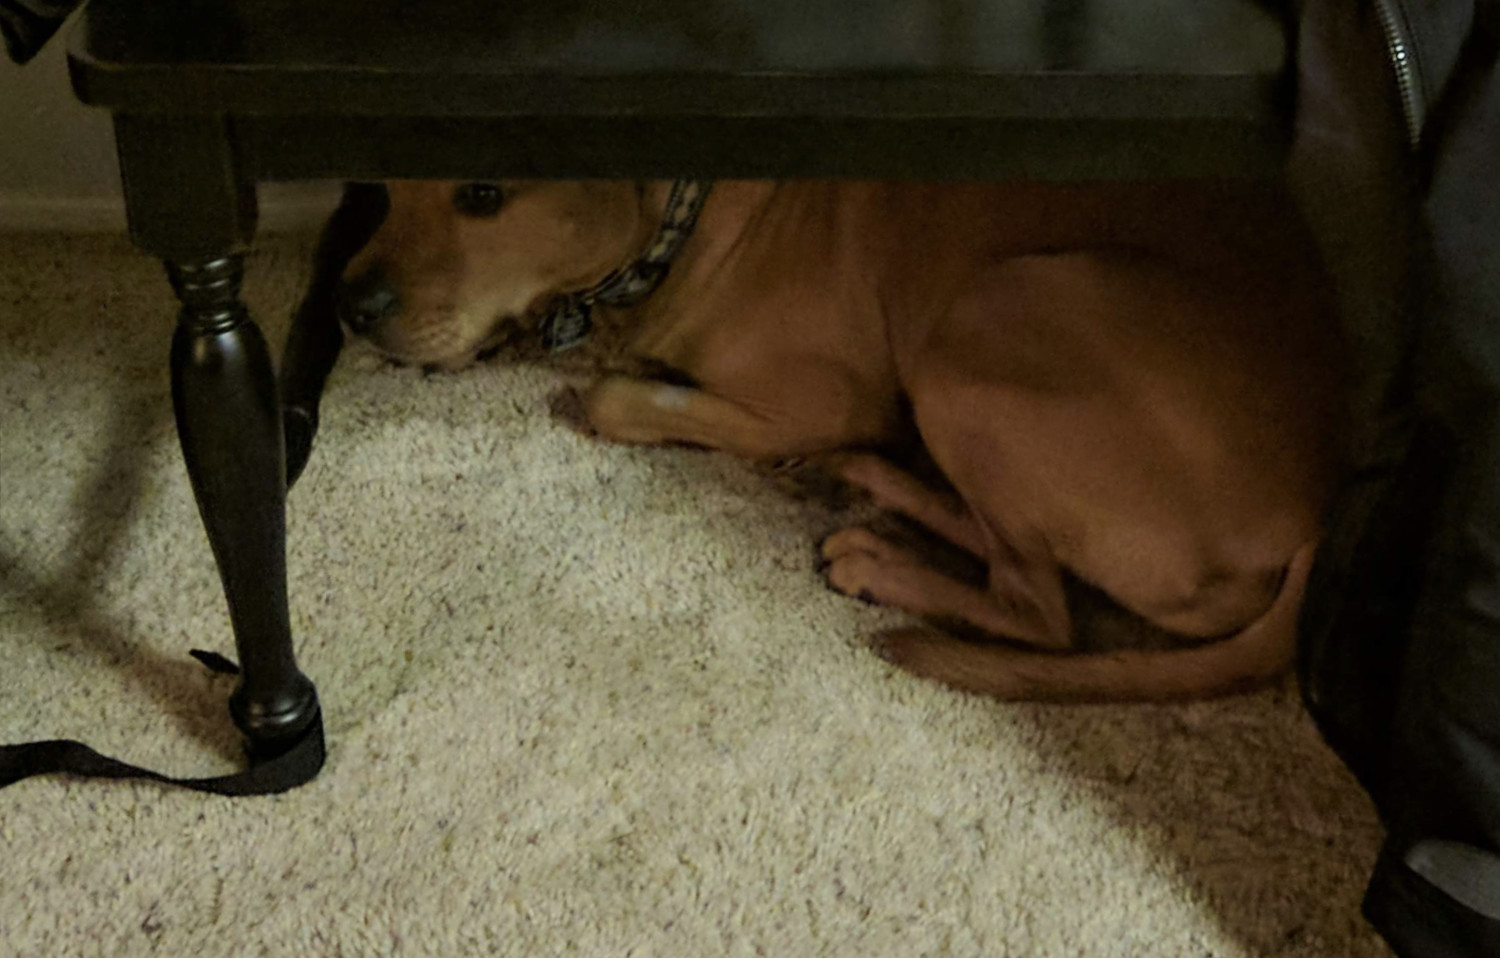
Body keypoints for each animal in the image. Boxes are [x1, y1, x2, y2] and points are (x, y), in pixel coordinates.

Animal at [337, 178, 1350, 704]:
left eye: (483, 195)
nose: (348, 306)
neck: (685, 223)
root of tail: (1317, 518)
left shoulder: (820, 397)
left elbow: (618, 398)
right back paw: (863, 485)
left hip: (985, 319)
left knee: (1042, 611)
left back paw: (874, 555)